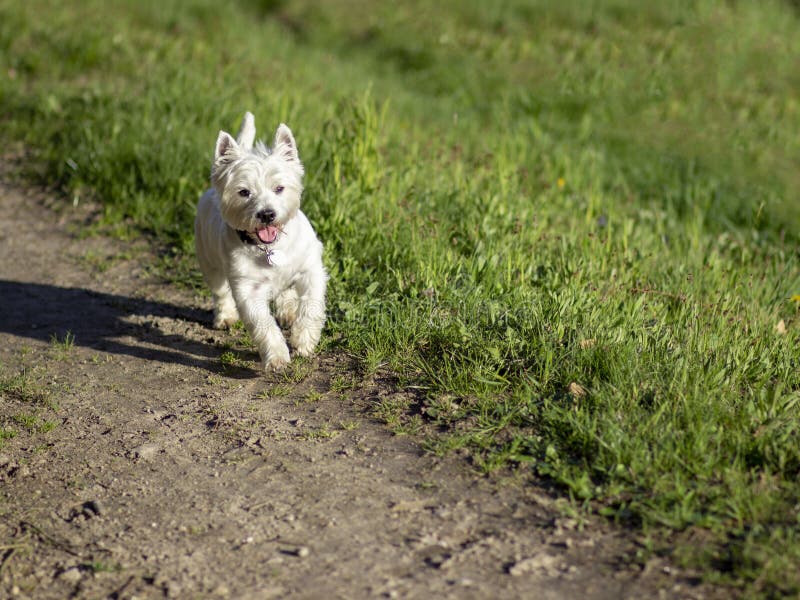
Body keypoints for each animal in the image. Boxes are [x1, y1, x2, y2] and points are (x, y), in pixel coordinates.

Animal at [195, 112, 326, 370]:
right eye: (244, 192)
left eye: (279, 188)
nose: (266, 214)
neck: (269, 248)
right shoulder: (248, 289)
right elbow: (263, 324)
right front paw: (277, 357)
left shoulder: (310, 269)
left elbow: (311, 305)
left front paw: (303, 340)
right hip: (210, 264)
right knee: (220, 293)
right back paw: (225, 317)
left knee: (287, 293)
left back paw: (288, 312)